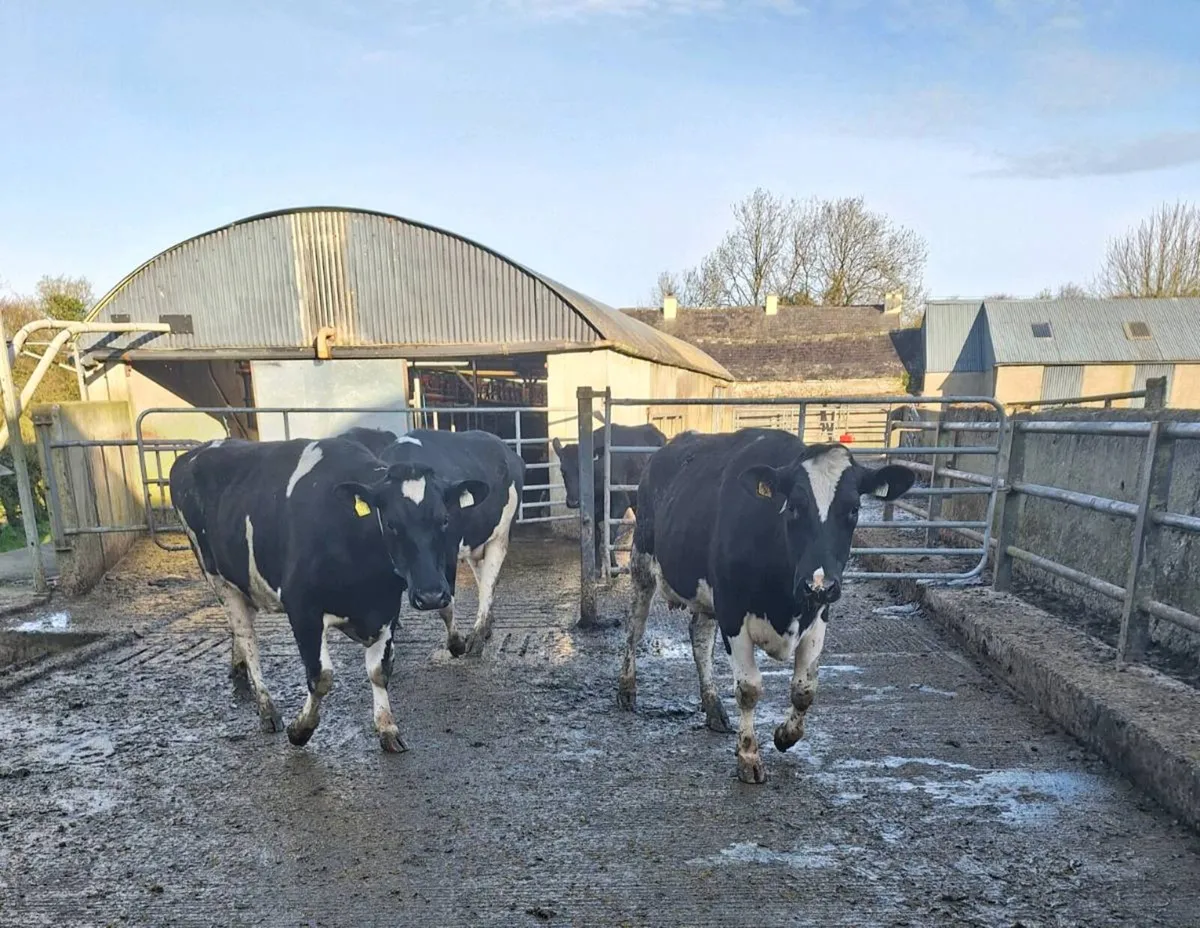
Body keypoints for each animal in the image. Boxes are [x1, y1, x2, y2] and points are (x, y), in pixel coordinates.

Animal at [169, 436, 489, 752]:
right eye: (392, 523)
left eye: (444, 520)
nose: (432, 595)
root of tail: (195, 452)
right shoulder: (302, 609)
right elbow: (320, 677)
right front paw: (301, 730)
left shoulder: (386, 608)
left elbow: (379, 670)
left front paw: (387, 727)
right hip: (217, 578)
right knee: (249, 641)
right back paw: (267, 709)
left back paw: (239, 673)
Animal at [340, 426, 525, 658]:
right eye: (391, 524)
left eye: (445, 519)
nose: (429, 597)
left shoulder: (449, 556)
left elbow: (447, 606)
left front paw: (456, 643)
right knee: (482, 577)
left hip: (501, 535)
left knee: (488, 583)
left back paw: (479, 634)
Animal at [551, 423, 666, 568]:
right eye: (562, 470)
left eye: (582, 470)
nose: (573, 502)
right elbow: (595, 535)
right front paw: (597, 566)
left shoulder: (621, 501)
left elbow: (610, 534)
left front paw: (613, 564)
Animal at [616, 428, 915, 783]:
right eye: (794, 507)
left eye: (854, 510)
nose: (819, 583)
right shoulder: (732, 611)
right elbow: (749, 689)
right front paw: (748, 757)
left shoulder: (819, 614)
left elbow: (805, 689)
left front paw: (785, 736)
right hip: (641, 563)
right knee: (635, 628)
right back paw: (627, 689)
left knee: (699, 639)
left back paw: (713, 707)